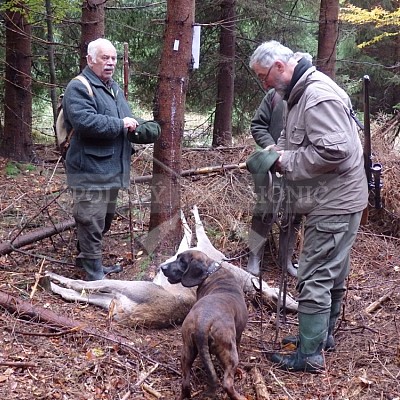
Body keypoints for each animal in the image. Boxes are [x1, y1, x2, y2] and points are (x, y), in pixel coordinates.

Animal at [161, 250, 248, 400]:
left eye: (182, 261)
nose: (162, 267)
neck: (210, 271)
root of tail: (204, 321)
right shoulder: (237, 338)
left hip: (187, 350)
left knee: (185, 383)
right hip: (230, 353)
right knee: (227, 383)